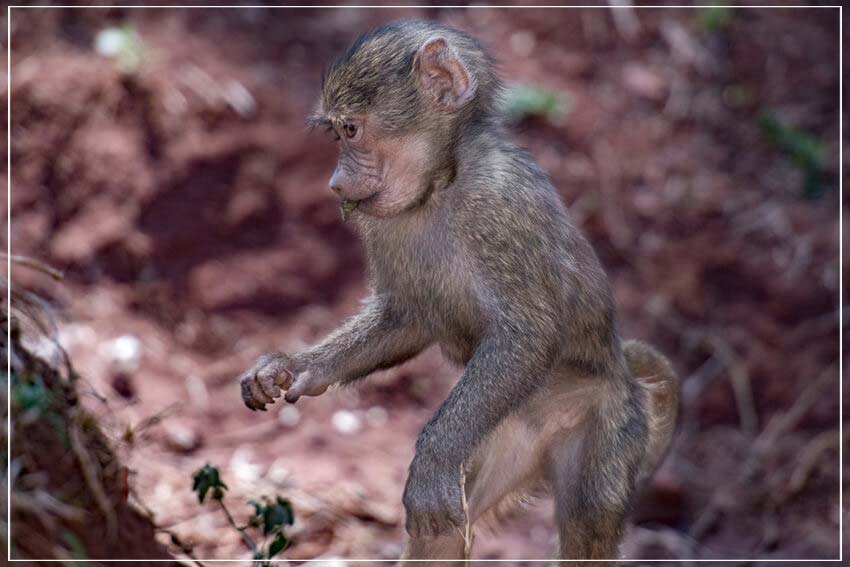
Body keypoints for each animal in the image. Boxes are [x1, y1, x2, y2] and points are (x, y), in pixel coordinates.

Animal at [237, 20, 679, 565]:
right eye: (338, 134)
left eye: (352, 130)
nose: (336, 183)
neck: (440, 186)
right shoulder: (382, 225)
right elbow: (406, 318)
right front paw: (293, 368)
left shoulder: (498, 204)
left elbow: (528, 334)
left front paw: (429, 463)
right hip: (497, 438)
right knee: (444, 531)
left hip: (603, 422)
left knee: (588, 522)